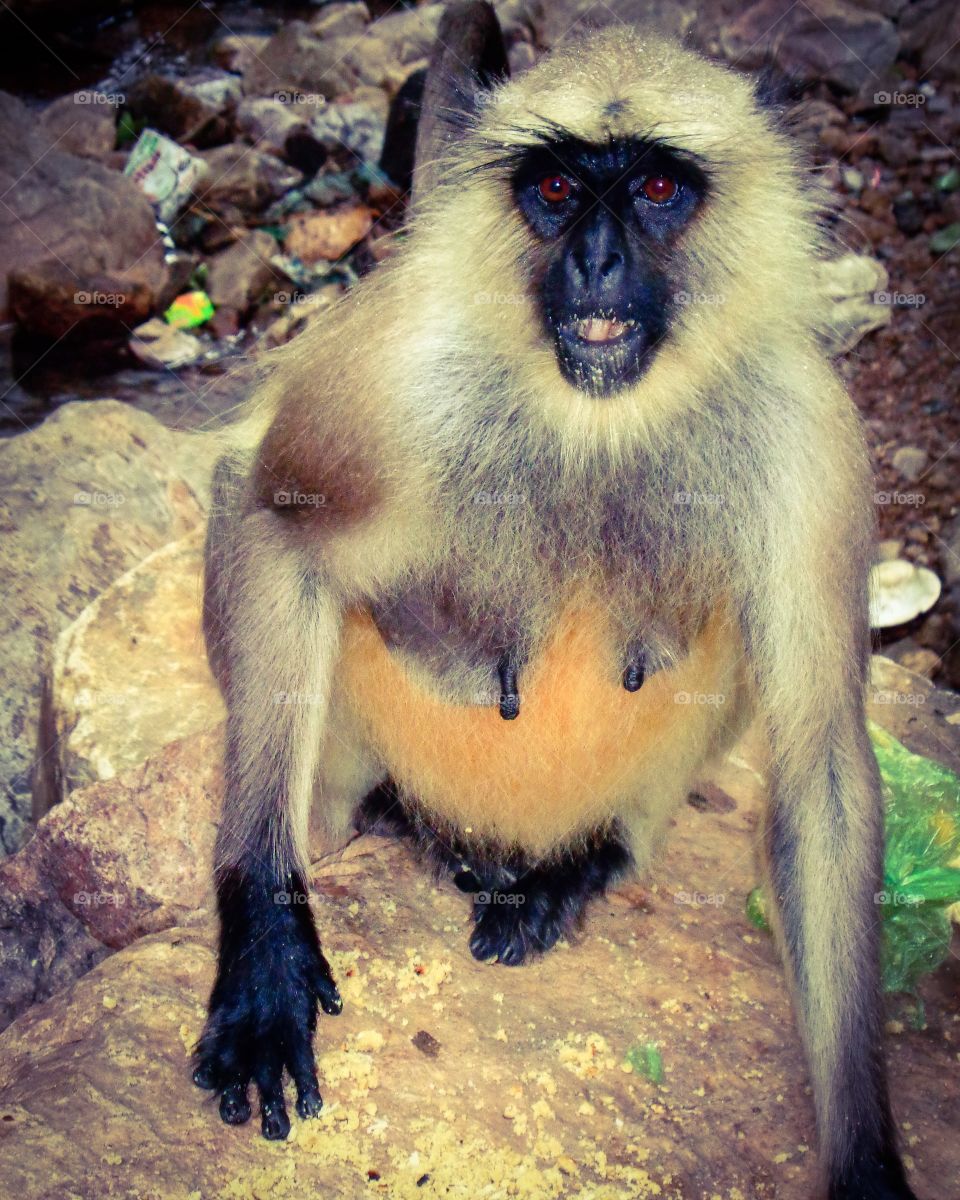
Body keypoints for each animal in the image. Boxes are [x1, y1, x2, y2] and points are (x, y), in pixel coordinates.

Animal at [193, 7, 918, 1198]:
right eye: (560, 190)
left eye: (657, 189)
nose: (596, 259)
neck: (599, 416)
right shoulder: (401, 373)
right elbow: (262, 512)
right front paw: (265, 947)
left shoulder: (808, 429)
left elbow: (821, 761)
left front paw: (864, 1163)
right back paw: (407, 824)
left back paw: (581, 863)